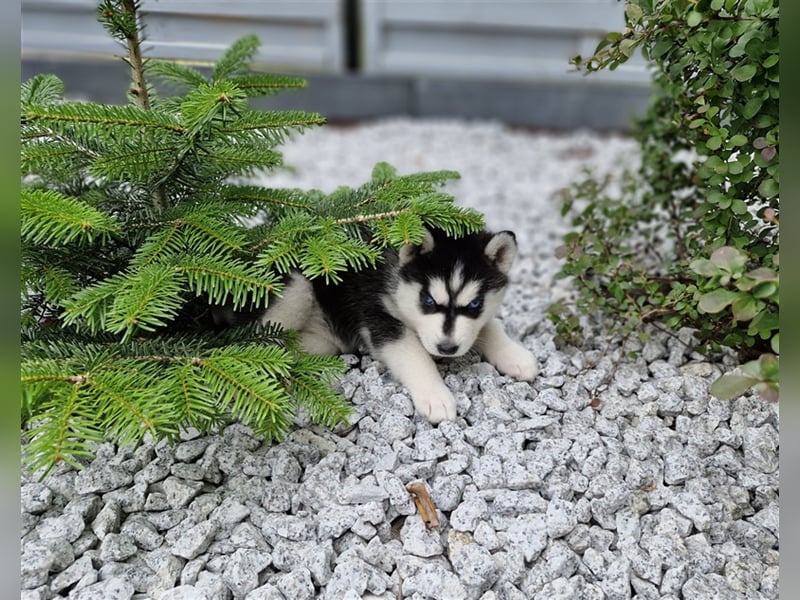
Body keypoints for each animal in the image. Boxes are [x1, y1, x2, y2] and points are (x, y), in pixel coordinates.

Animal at [262, 229, 536, 422]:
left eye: (474, 305)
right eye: (427, 300)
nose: (447, 348)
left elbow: (489, 326)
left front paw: (515, 355)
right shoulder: (377, 313)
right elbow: (414, 354)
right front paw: (435, 395)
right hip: (295, 288)